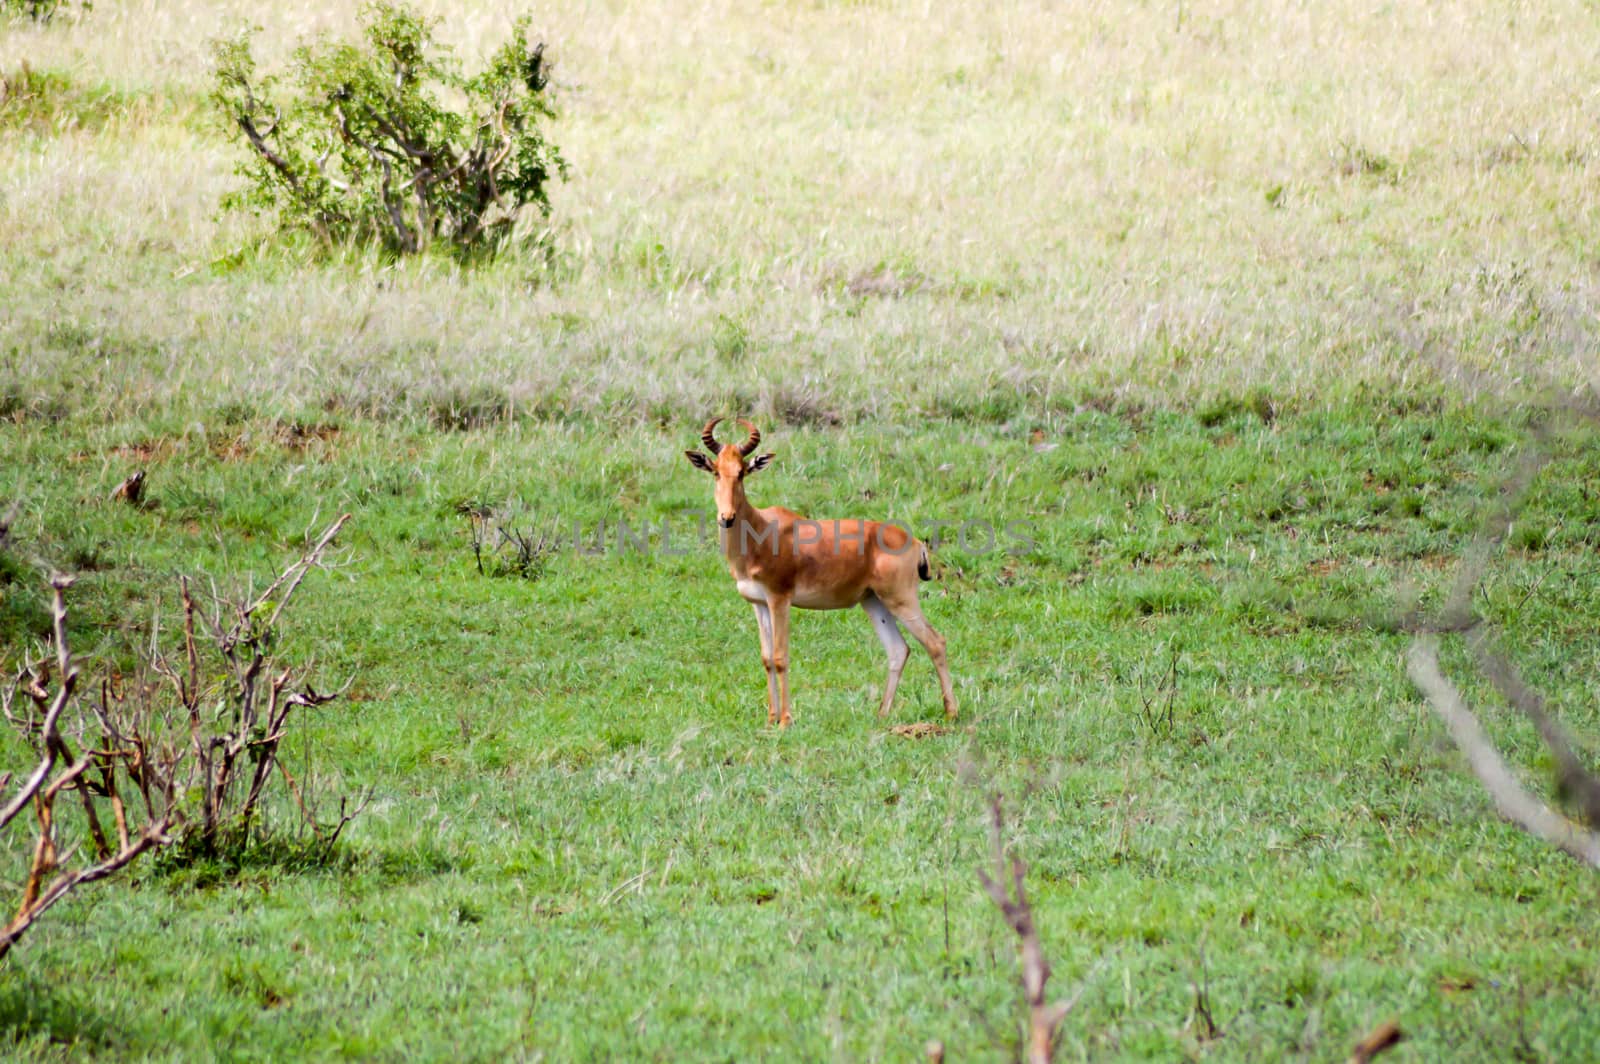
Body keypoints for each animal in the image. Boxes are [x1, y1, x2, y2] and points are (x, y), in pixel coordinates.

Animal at [684, 419, 953, 726]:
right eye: (716, 471)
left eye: (742, 472)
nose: (726, 518)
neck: (763, 529)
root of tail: (916, 542)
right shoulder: (759, 604)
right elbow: (766, 659)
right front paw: (770, 719)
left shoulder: (780, 599)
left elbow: (781, 657)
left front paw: (786, 721)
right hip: (874, 601)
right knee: (898, 650)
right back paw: (882, 714)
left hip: (901, 598)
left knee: (935, 642)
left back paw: (951, 712)